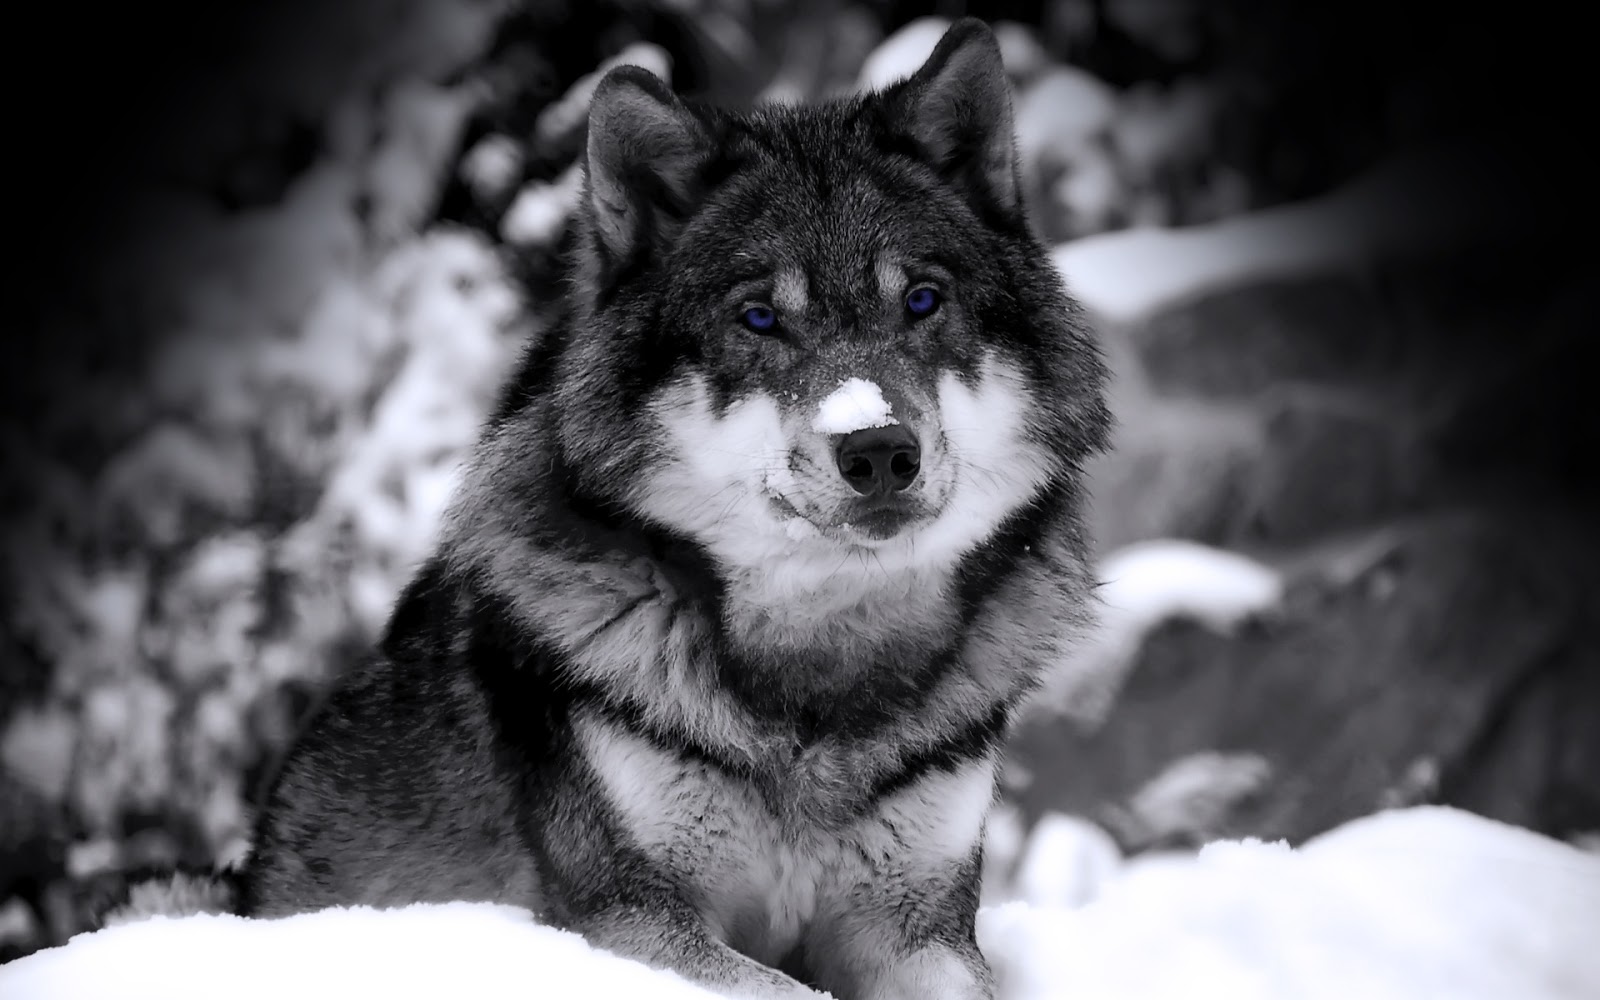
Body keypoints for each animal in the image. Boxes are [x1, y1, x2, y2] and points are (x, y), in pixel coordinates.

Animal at [117, 17, 1111, 1000]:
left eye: (923, 301)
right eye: (759, 319)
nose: (877, 450)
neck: (816, 682)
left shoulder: (918, 930)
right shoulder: (629, 918)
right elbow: (783, 990)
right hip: (169, 894)